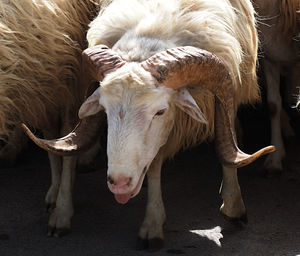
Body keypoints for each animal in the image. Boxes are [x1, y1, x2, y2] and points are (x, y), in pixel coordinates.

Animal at [0, 0, 111, 237]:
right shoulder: (45, 91)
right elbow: (52, 145)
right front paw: (55, 192)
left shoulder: (70, 85)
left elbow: (67, 146)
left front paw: (62, 211)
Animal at [24, 0, 274, 250]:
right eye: (104, 109)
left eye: (160, 111)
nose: (119, 182)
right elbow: (153, 167)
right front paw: (153, 224)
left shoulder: (230, 93)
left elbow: (227, 148)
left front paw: (234, 207)